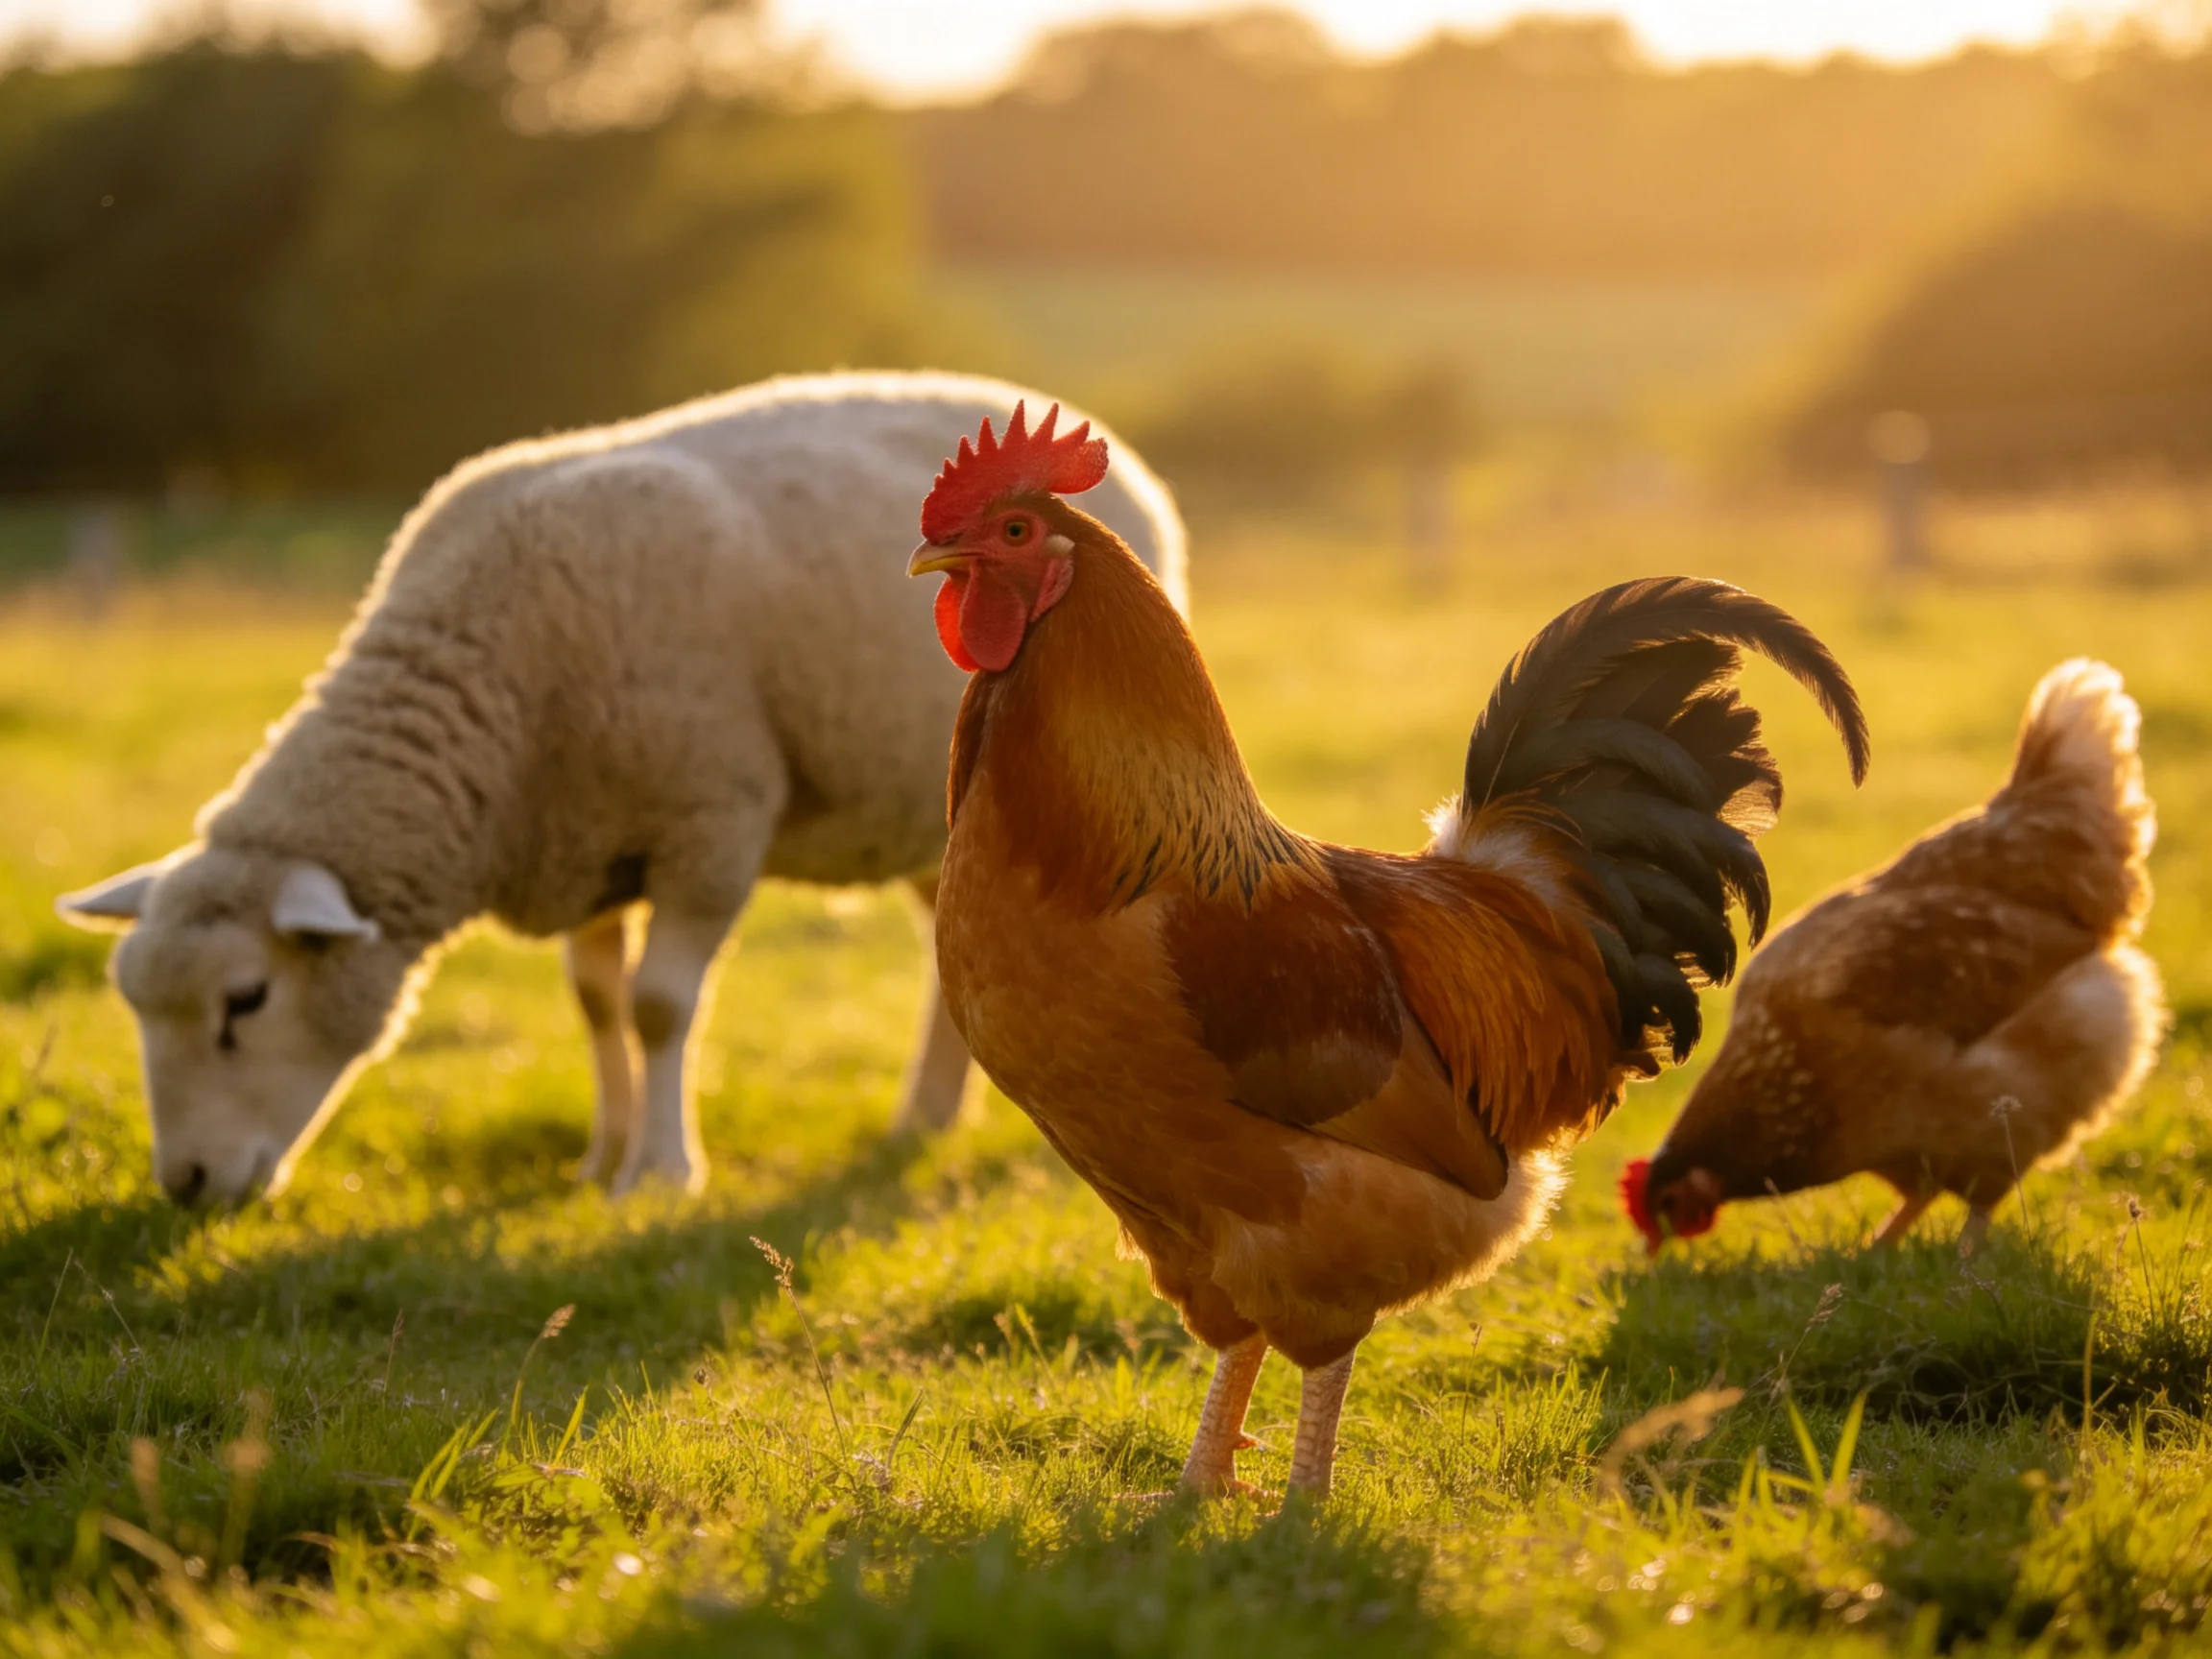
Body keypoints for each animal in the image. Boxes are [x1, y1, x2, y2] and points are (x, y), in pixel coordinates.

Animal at [58, 371, 1188, 1205]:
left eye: (245, 1001)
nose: (186, 1186)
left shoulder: (709, 822)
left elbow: (655, 1007)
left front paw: (662, 1172)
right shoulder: (580, 841)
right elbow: (596, 1005)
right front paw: (600, 1160)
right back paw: (927, 1114)